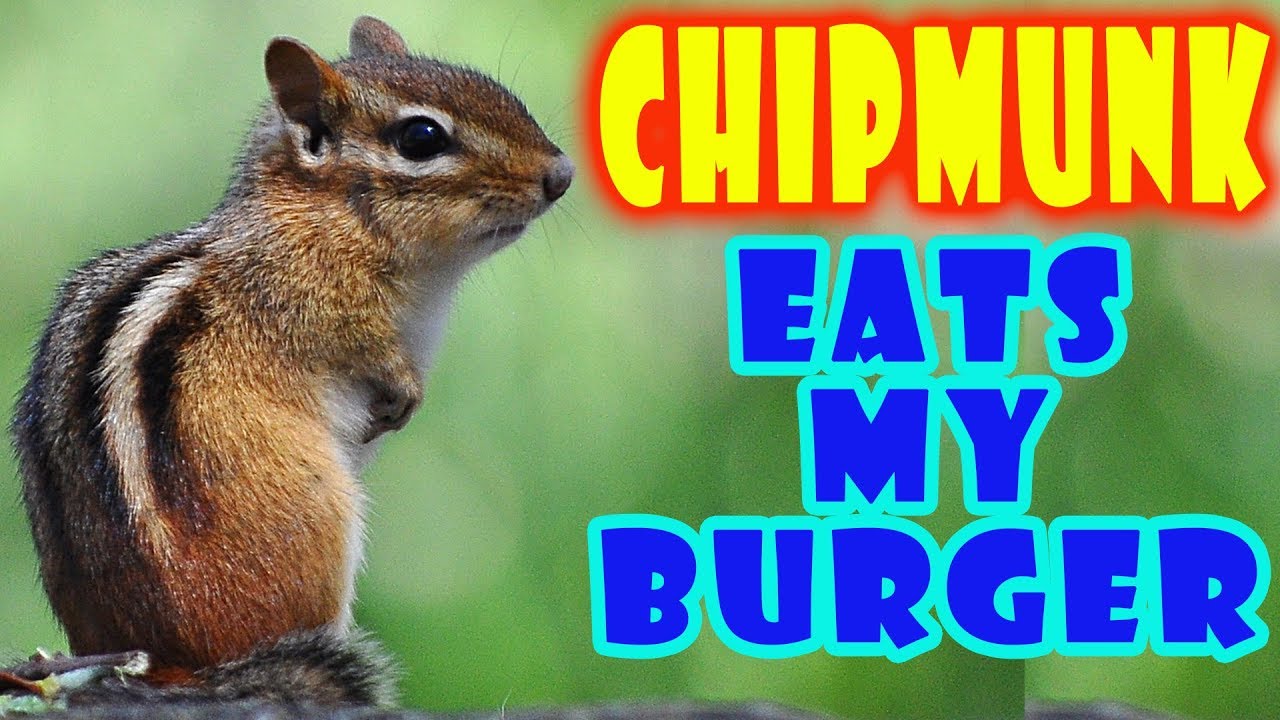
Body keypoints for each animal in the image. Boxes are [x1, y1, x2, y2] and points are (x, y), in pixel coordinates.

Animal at [10, 15, 572, 707]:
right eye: (421, 137)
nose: (560, 174)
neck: (326, 213)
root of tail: (177, 664)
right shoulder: (318, 302)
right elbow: (366, 347)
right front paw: (404, 391)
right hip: (319, 517)